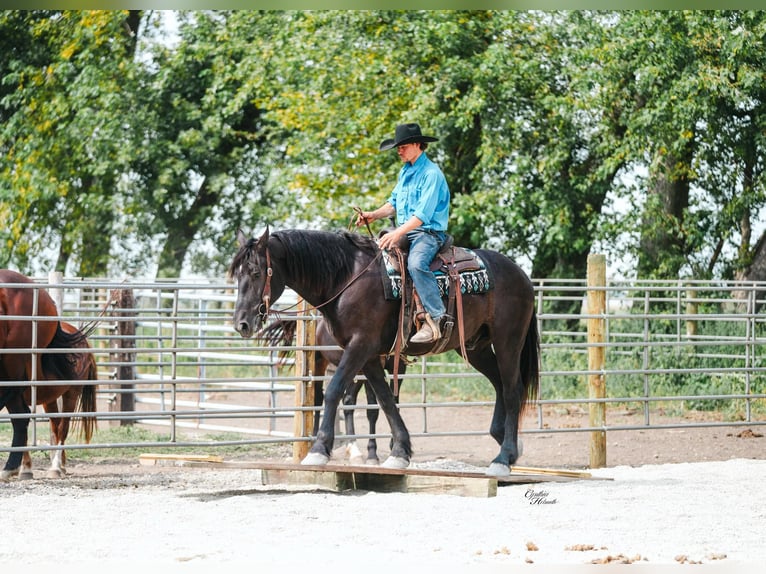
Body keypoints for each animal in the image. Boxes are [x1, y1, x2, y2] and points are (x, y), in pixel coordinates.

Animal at [260, 316, 405, 465]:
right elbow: (373, 411)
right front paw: (372, 454)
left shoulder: (399, 368)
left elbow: (394, 402)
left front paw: (393, 445)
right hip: (320, 361)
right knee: (320, 398)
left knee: (347, 399)